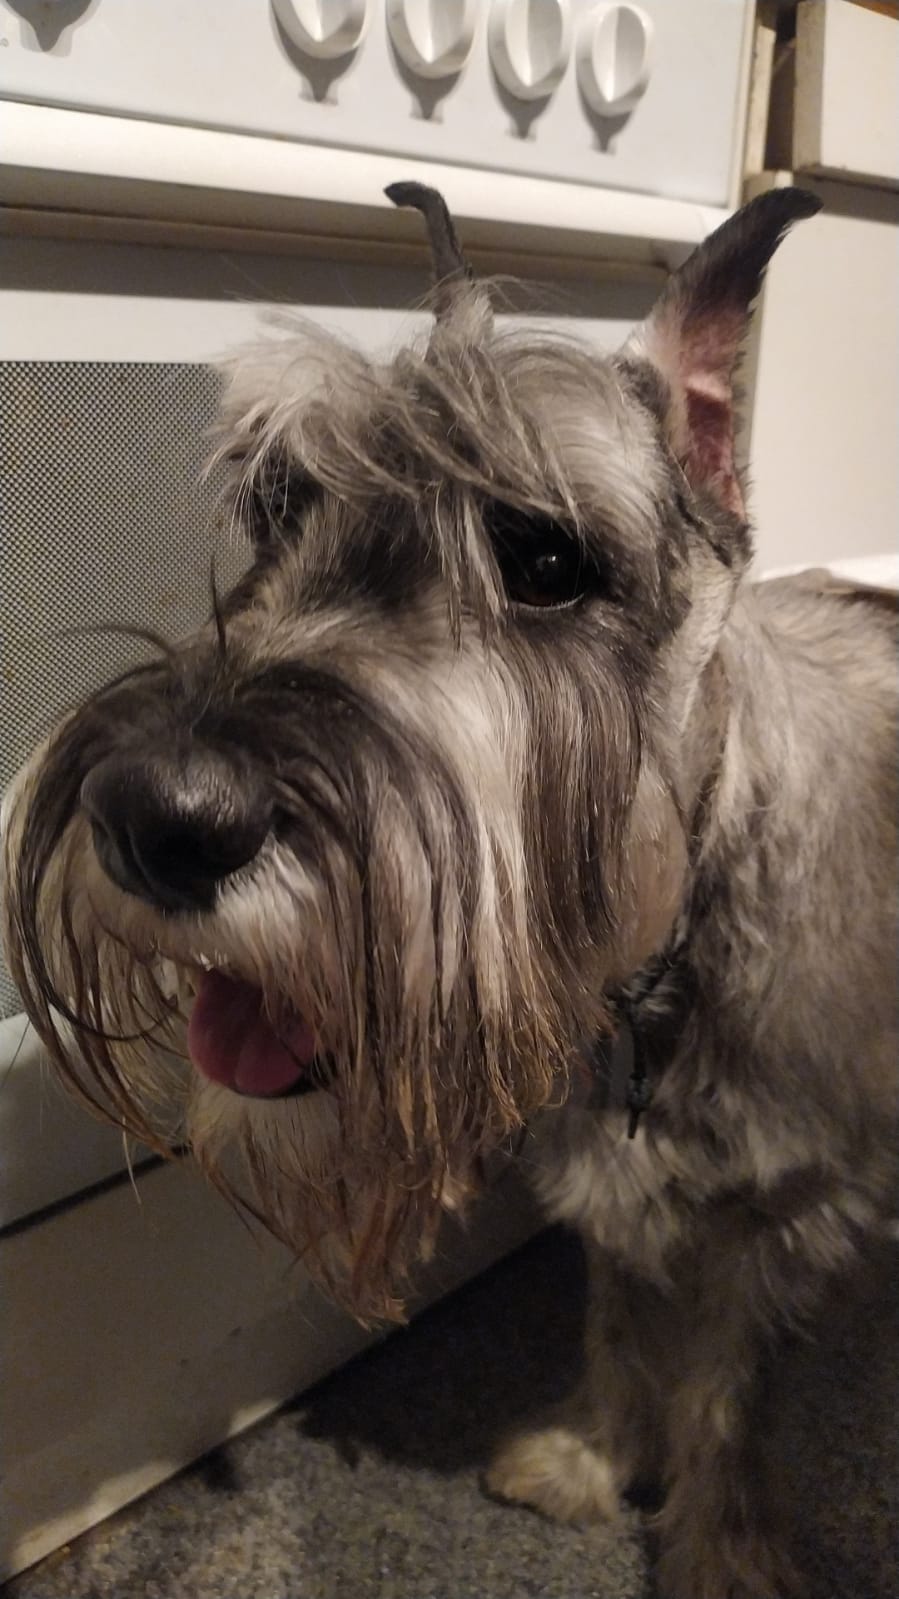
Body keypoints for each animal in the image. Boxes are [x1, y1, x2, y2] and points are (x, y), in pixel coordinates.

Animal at [3, 182, 896, 1599]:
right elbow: (617, 1326)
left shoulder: (783, 1219)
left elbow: (723, 1398)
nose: (155, 818)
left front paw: (716, 1551)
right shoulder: (613, 1185)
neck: (666, 958)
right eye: (274, 504)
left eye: (544, 560)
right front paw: (590, 1458)